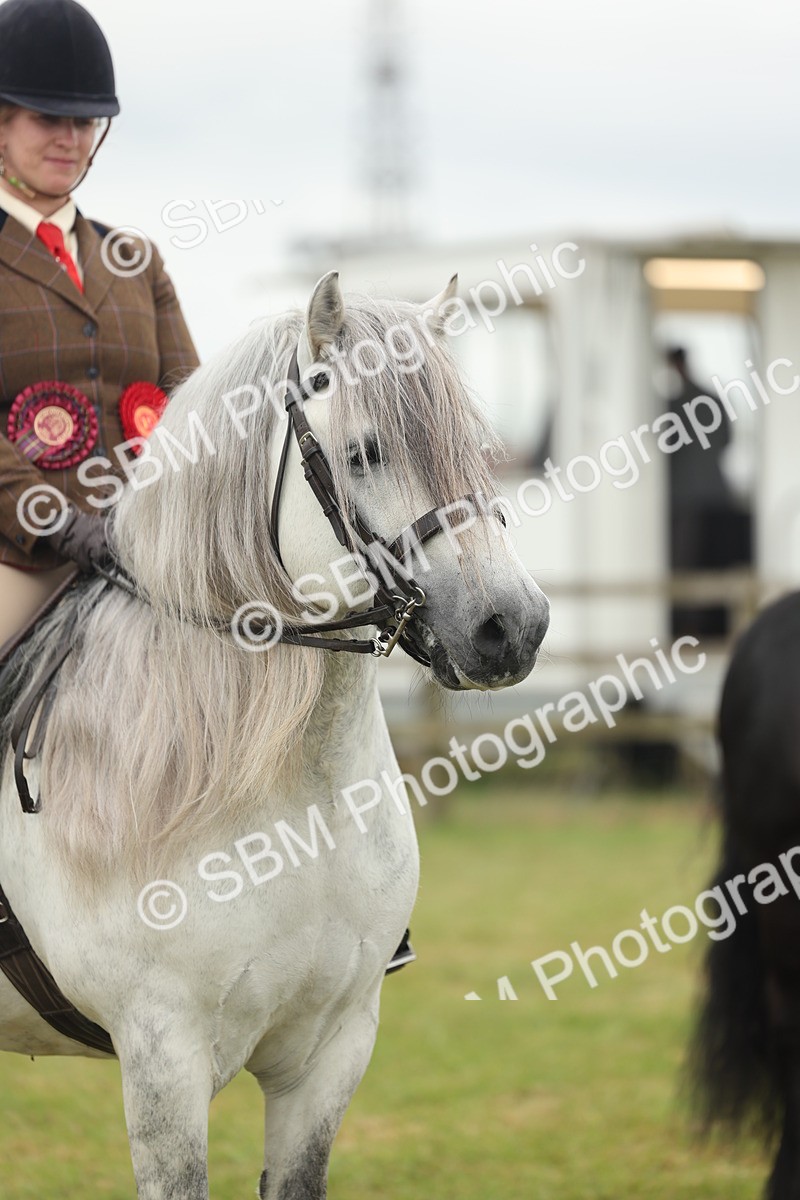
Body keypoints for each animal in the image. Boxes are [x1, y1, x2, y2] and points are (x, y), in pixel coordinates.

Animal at [0, 271, 549, 1199]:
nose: (512, 627)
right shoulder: (163, 1059)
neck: (300, 798)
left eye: (478, 447)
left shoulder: (331, 1049)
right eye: (364, 453)